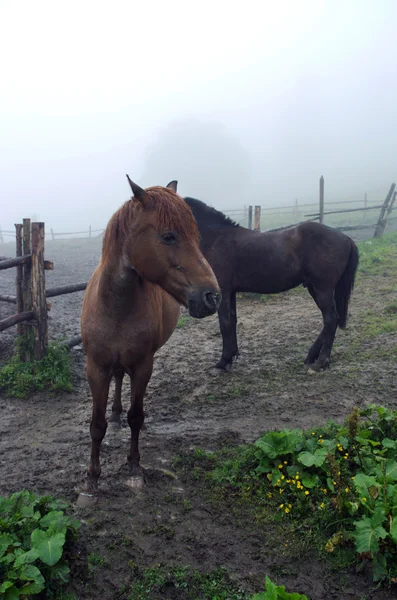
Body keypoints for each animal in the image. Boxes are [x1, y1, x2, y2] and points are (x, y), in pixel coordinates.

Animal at [80, 178, 220, 496]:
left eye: (196, 235)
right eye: (168, 236)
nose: (212, 297)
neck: (115, 307)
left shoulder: (143, 365)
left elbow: (136, 415)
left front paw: (134, 468)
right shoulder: (96, 368)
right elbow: (96, 425)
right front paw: (92, 479)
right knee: (119, 381)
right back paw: (116, 413)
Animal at [184, 199, 358, 372]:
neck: (217, 238)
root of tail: (346, 237)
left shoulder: (223, 292)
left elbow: (225, 324)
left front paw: (223, 362)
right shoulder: (231, 292)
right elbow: (232, 322)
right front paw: (231, 356)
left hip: (323, 289)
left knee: (330, 319)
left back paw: (321, 361)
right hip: (314, 288)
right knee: (332, 320)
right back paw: (311, 356)